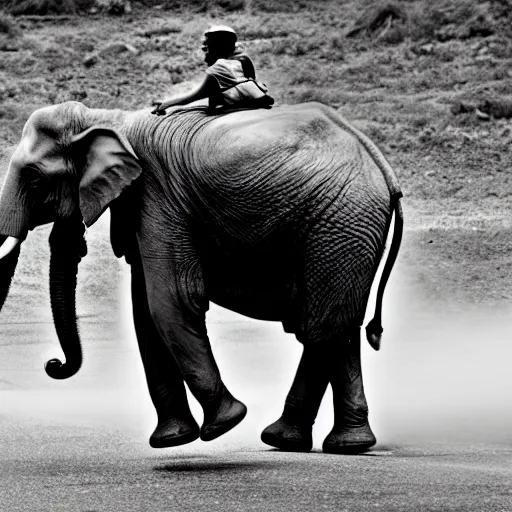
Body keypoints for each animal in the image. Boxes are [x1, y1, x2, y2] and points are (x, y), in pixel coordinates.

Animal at [0, 102, 402, 454]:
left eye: (34, 178)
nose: (53, 365)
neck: (107, 120)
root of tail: (381, 164)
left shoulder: (157, 197)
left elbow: (170, 302)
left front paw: (224, 423)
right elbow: (146, 312)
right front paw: (172, 440)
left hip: (340, 220)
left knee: (323, 326)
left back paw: (302, 440)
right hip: (345, 228)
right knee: (340, 326)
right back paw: (329, 444)